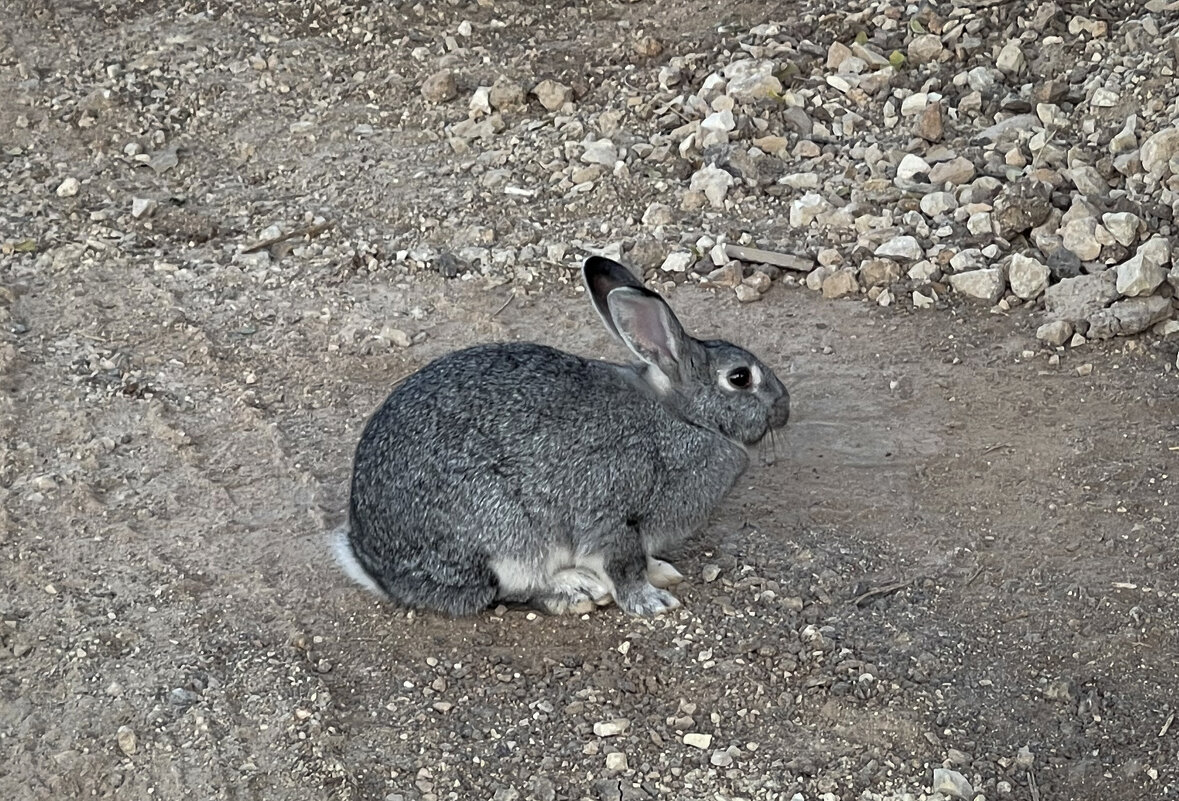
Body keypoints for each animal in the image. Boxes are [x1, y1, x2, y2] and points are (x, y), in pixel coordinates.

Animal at [334, 257, 792, 618]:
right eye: (740, 378)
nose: (784, 407)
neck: (683, 418)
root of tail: (376, 567)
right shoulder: (613, 515)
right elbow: (624, 565)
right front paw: (650, 601)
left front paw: (661, 572)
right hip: (505, 533)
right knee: (509, 590)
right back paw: (575, 588)